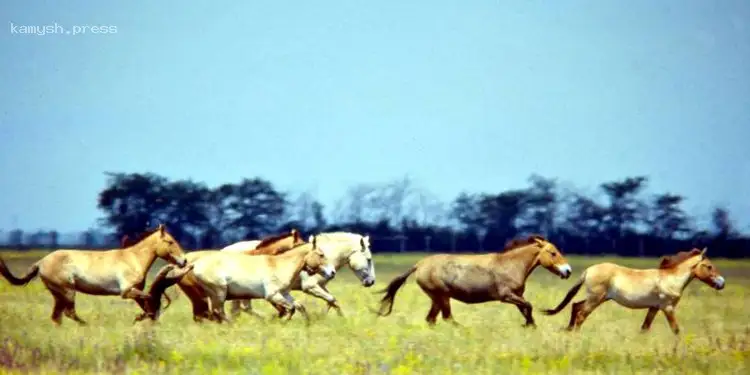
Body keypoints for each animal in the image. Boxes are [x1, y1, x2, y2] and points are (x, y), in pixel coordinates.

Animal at [0, 225, 188, 328]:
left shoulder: (135, 292)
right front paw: (141, 318)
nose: (184, 261)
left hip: (58, 294)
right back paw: (86, 325)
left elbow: (147, 304)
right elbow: (149, 300)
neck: (132, 258)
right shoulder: (127, 292)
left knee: (57, 317)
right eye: (170, 242)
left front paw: (144, 318)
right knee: (68, 313)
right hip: (68, 291)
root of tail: (40, 262)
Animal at [185, 235, 338, 326]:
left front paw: (307, 323)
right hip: (220, 293)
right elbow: (291, 308)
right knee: (219, 312)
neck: (280, 265)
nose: (332, 273)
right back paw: (233, 326)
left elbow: (298, 306)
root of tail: (196, 264)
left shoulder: (284, 294)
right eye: (321, 254)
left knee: (217, 312)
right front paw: (282, 322)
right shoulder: (272, 295)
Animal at [232, 231, 378, 318]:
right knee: (244, 308)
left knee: (239, 309)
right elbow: (331, 300)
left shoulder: (321, 286)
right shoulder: (310, 287)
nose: (371, 282)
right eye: (369, 259)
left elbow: (333, 301)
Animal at [374, 236, 572, 328]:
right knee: (446, 318)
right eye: (553, 253)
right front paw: (529, 325)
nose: (568, 271)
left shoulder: (517, 296)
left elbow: (526, 309)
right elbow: (529, 306)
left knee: (432, 319)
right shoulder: (506, 296)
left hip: (437, 298)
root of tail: (419, 265)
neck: (511, 265)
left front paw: (531, 325)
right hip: (442, 296)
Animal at [544, 247, 724, 334]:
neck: (670, 280)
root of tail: (588, 270)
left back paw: (569, 331)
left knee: (576, 306)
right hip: (595, 299)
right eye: (709, 266)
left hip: (599, 298)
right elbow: (676, 330)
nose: (721, 283)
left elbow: (645, 328)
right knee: (581, 314)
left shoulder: (654, 308)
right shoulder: (667, 308)